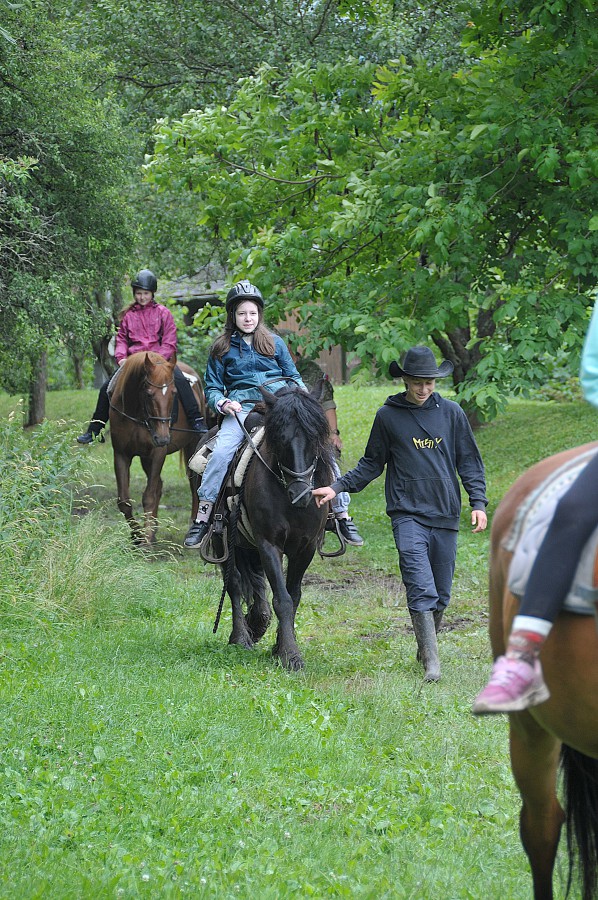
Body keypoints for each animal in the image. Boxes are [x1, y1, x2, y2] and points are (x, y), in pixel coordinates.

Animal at [109, 351, 207, 545]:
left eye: (174, 393)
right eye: (148, 393)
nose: (162, 438)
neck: (138, 415)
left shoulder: (157, 453)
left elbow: (149, 496)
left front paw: (145, 540)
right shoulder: (121, 454)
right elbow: (124, 501)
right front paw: (138, 535)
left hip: (192, 444)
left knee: (192, 482)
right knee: (159, 485)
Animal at [214, 384, 334, 670]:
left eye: (316, 436)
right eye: (279, 438)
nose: (301, 494)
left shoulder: (305, 548)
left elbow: (293, 596)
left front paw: (279, 647)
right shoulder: (269, 544)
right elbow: (282, 599)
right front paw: (290, 655)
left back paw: (257, 623)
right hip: (222, 540)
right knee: (234, 583)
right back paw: (240, 637)